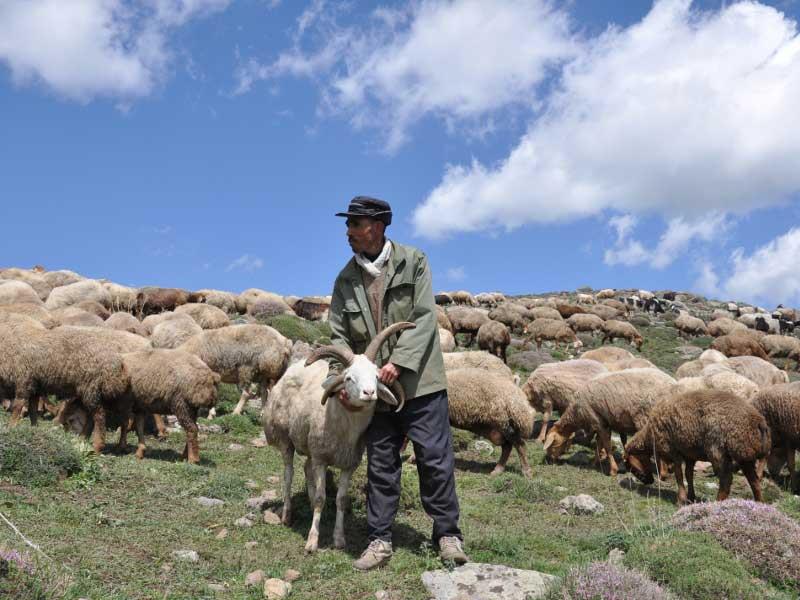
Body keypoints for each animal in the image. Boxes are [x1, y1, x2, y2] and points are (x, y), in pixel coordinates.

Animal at [262, 324, 412, 552]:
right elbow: (321, 498)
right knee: (288, 474)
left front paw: (339, 539)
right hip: (284, 438)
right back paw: (287, 514)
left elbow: (340, 500)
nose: (369, 393)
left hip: (310, 444)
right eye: (349, 378)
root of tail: (293, 368)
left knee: (306, 468)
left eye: (377, 377)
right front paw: (312, 541)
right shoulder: (322, 459)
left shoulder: (348, 463)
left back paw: (308, 501)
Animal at [540, 368, 680, 476]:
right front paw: (595, 462)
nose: (549, 460)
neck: (577, 412)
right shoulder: (603, 422)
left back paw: (662, 472)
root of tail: (674, 385)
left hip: (646, 418)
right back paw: (669, 468)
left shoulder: (597, 421)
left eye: (552, 443)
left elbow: (607, 446)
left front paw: (613, 470)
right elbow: (599, 443)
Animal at [628, 390, 772, 506]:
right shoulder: (690, 454)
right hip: (744, 455)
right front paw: (691, 497)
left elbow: (679, 475)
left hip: (718, 451)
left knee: (726, 479)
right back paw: (760, 504)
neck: (650, 435)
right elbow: (689, 475)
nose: (649, 481)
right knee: (754, 481)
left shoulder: (674, 451)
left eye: (630, 465)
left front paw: (681, 500)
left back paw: (717, 504)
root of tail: (760, 423)